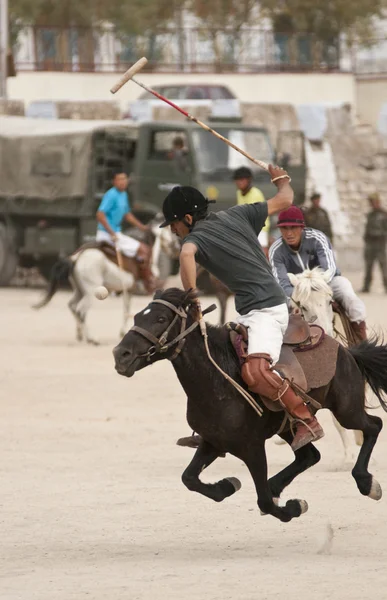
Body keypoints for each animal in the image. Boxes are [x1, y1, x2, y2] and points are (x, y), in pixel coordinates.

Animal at [34, 218, 180, 344]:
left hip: (79, 289)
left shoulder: (128, 289)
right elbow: (127, 309)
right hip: (90, 292)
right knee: (81, 311)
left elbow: (127, 308)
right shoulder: (130, 289)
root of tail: (76, 258)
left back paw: (80, 334)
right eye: (169, 231)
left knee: (72, 306)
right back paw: (92, 338)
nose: (175, 247)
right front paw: (123, 331)